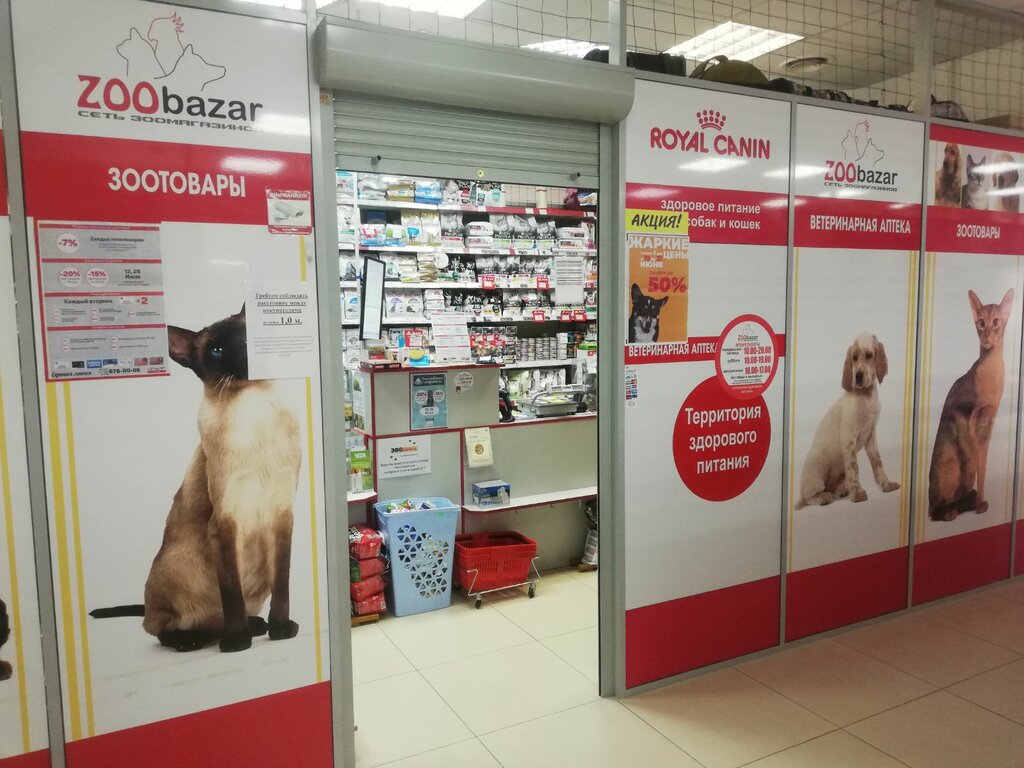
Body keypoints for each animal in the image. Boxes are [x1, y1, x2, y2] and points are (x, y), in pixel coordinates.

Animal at [90, 306, 302, 652]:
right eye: (216, 350)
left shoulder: (282, 513)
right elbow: (231, 591)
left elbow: (281, 583)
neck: (253, 411)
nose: (246, 352)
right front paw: (237, 642)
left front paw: (281, 629)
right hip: (179, 563)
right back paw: (196, 639)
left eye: (248, 336)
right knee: (162, 627)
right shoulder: (226, 520)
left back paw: (256, 626)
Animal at [796, 333, 900, 508]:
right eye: (854, 357)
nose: (857, 376)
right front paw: (857, 494)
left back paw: (841, 490)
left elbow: (877, 462)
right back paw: (823, 497)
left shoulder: (871, 437)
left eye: (869, 355)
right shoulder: (849, 438)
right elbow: (854, 467)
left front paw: (886, 485)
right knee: (809, 496)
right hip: (818, 469)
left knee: (832, 488)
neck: (866, 397)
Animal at [928, 289, 1014, 522]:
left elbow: (982, 466)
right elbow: (973, 459)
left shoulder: (989, 423)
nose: (986, 336)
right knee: (935, 508)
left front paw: (980, 502)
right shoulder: (963, 415)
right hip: (948, 465)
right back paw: (949, 510)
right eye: (981, 323)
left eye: (996, 322)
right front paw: (975, 502)